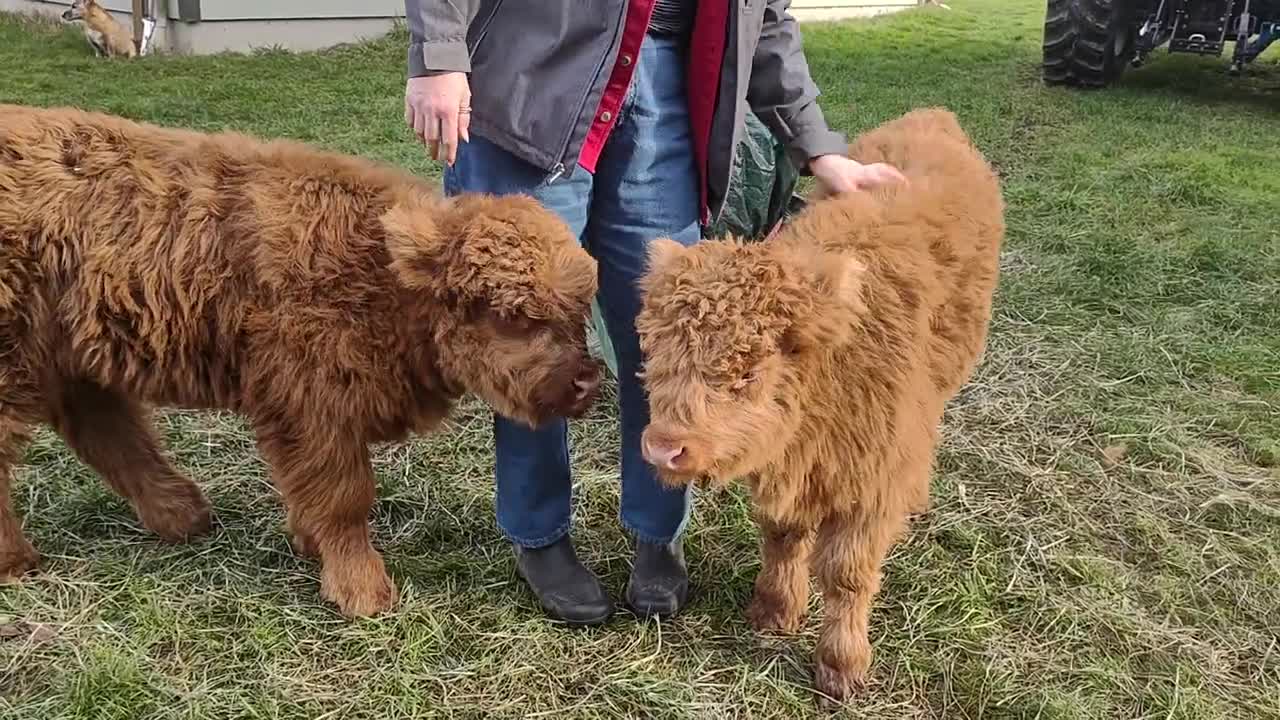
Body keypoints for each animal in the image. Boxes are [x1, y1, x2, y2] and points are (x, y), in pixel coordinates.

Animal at [0, 103, 601, 614]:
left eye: (579, 311)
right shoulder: (313, 407)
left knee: (108, 432)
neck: (381, 276)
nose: (587, 382)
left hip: (72, 358)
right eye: (515, 314)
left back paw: (183, 517)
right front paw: (363, 591)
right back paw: (19, 562)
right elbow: (344, 496)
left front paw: (310, 544)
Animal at [634, 107, 1003, 702]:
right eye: (654, 351)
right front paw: (775, 610)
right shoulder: (791, 470)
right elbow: (784, 537)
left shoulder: (870, 484)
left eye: (748, 371)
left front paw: (842, 665)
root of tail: (933, 117)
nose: (665, 448)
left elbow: (847, 576)